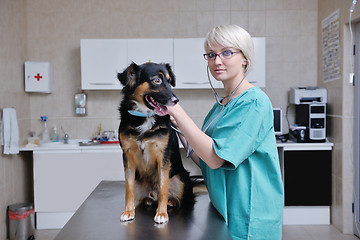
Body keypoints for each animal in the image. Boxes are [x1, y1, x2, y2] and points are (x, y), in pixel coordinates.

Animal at [118, 61, 193, 223]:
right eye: (157, 80)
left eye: (169, 81)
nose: (176, 101)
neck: (145, 116)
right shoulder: (127, 154)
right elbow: (128, 188)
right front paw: (128, 211)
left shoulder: (163, 155)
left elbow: (164, 187)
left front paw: (162, 213)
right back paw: (148, 199)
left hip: (180, 178)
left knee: (178, 197)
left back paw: (171, 201)